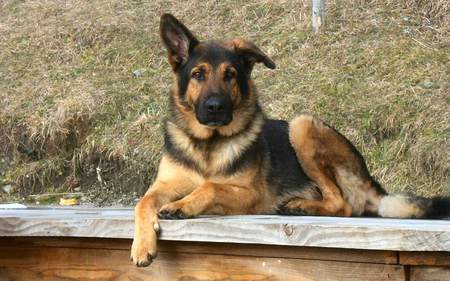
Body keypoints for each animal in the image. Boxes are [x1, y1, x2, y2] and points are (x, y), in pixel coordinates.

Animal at [131, 13, 450, 266]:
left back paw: (302, 205)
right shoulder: (164, 185)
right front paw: (142, 246)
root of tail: (370, 180)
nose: (215, 108)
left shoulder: (251, 194)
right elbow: (143, 201)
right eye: (198, 74)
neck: (208, 145)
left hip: (302, 124)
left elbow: (209, 187)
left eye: (230, 74)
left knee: (342, 204)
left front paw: (181, 206)